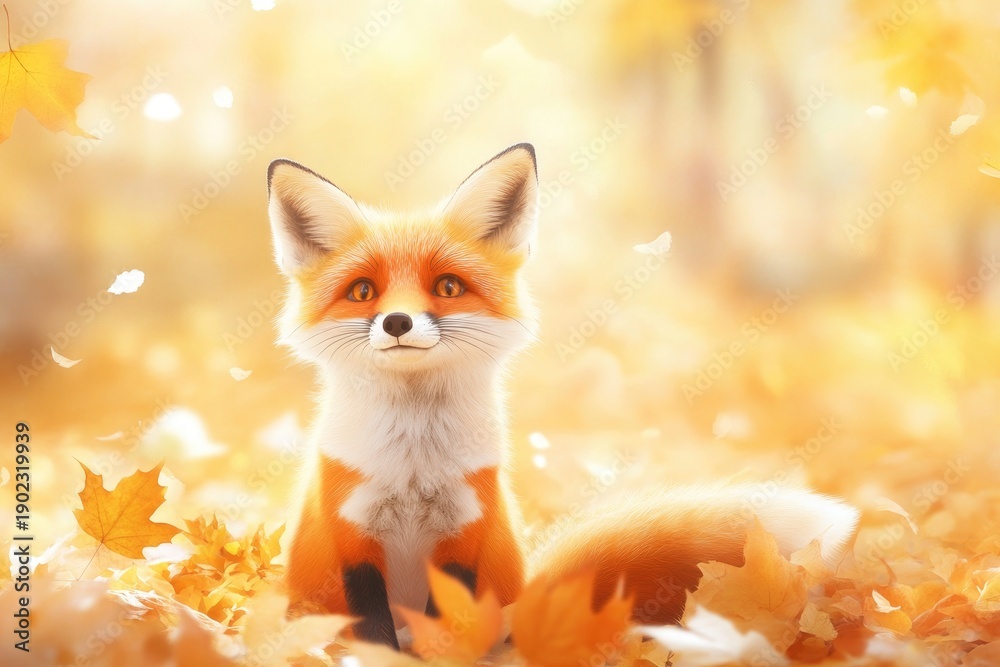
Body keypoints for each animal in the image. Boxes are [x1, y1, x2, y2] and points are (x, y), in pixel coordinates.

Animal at [264, 143, 860, 649]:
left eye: (447, 287)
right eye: (363, 291)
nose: (396, 322)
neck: (413, 462)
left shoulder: (464, 533)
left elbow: (450, 628)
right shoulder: (352, 534)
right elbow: (373, 633)